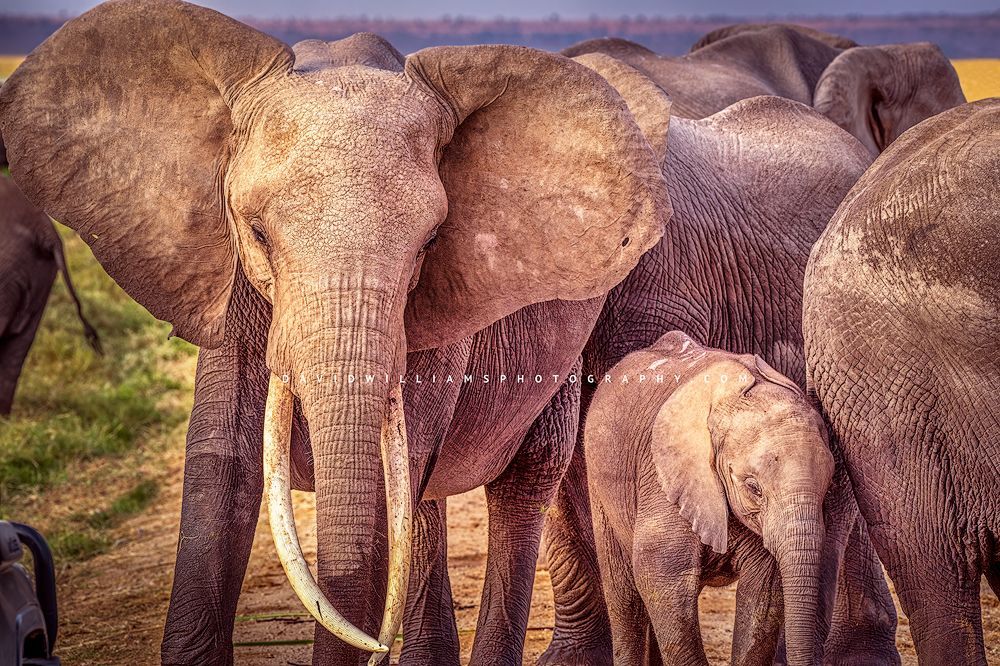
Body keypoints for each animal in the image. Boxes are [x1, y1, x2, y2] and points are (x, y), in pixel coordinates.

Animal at [586, 331, 835, 666]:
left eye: (828, 484)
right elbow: (661, 576)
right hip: (601, 486)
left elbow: (764, 593)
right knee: (624, 595)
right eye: (753, 487)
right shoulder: (662, 474)